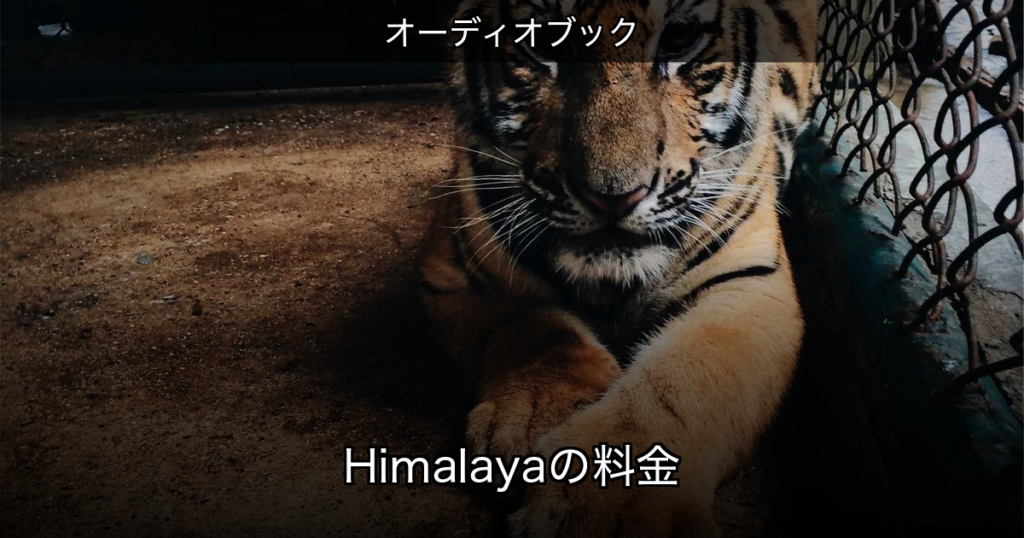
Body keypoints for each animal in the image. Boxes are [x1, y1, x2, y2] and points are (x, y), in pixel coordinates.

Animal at [416, 0, 817, 536]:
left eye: (679, 39)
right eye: (543, 39)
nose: (613, 197)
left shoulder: (749, 283)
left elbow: (685, 379)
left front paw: (607, 510)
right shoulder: (453, 267)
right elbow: (532, 326)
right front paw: (538, 414)